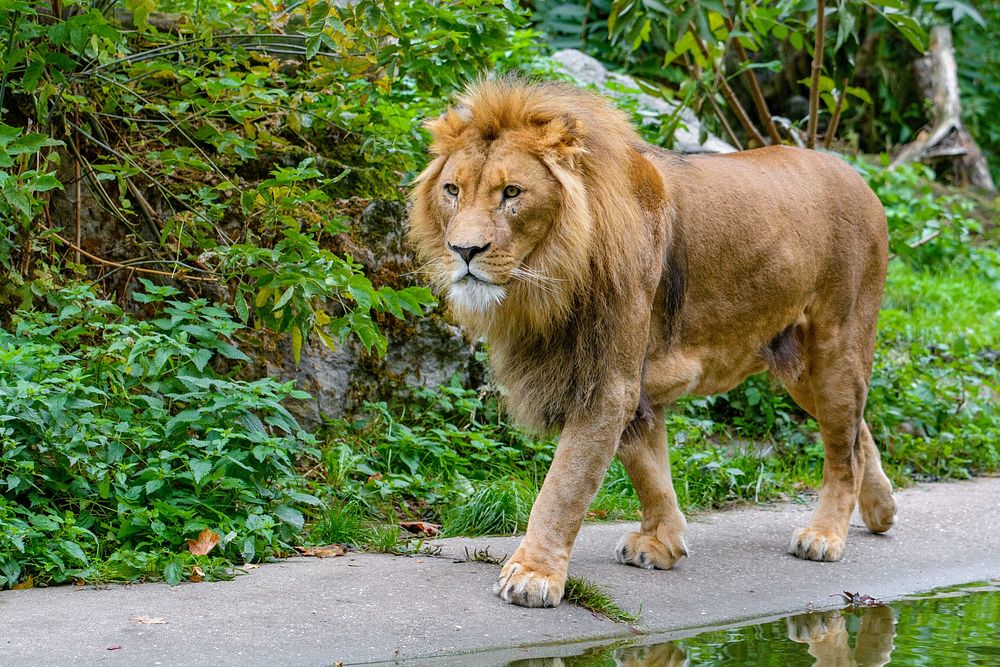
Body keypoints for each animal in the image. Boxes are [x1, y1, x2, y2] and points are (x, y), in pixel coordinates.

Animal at [406, 79, 900, 612]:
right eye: (453, 191)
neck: (549, 279)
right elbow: (647, 467)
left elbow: (565, 485)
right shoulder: (624, 383)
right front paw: (663, 543)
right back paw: (882, 508)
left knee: (844, 450)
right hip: (800, 366)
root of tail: (858, 177)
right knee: (857, 429)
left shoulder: (608, 383)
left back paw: (825, 535)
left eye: (511, 193)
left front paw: (533, 574)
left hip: (835, 347)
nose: (464, 251)